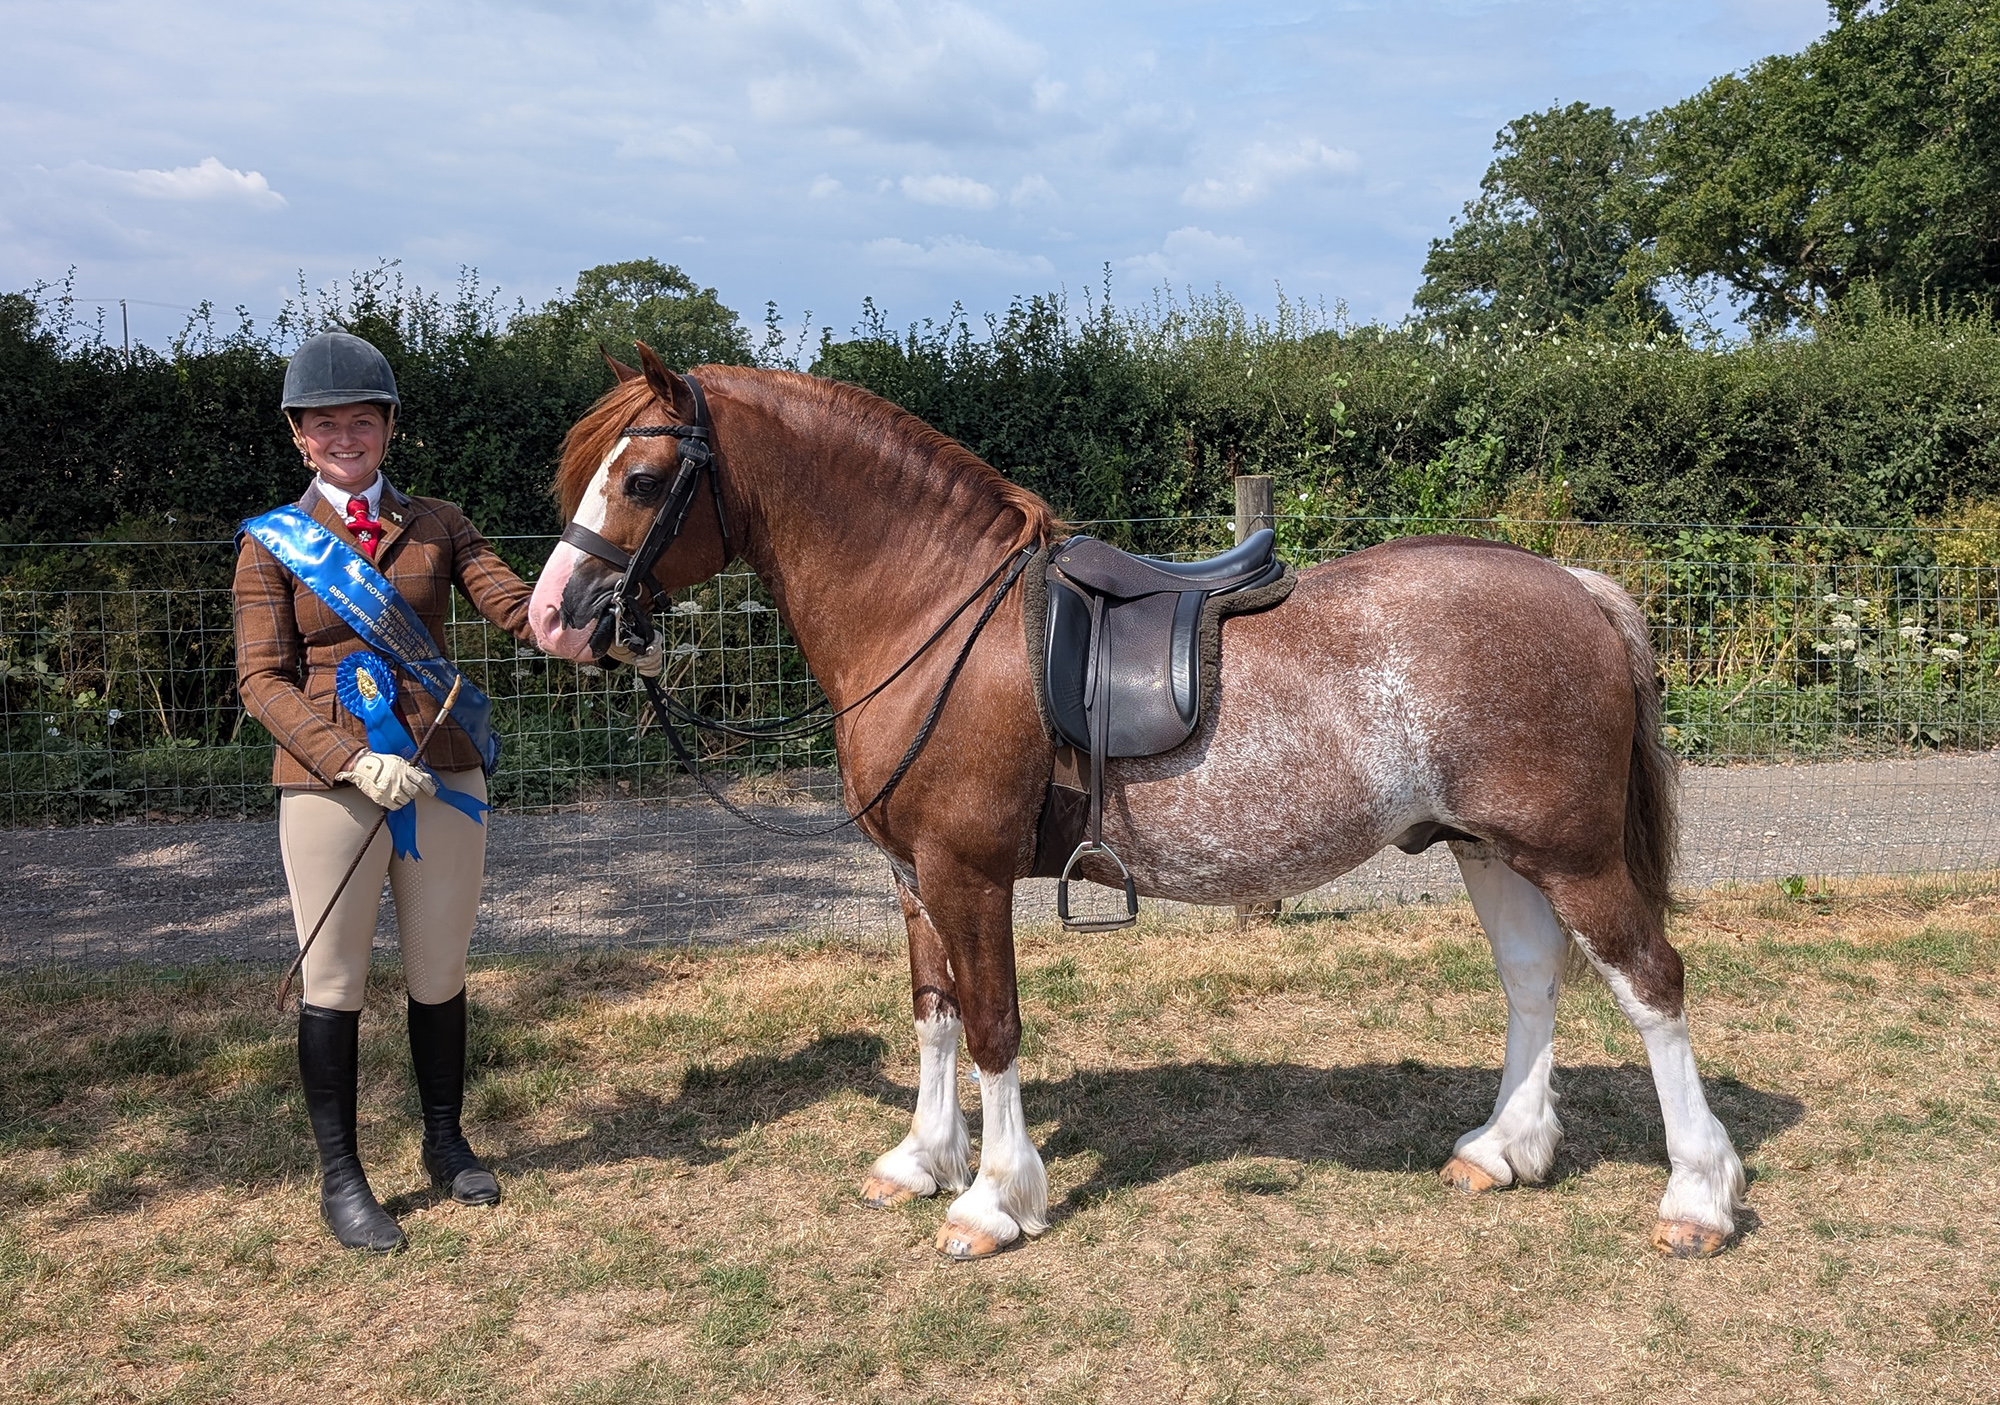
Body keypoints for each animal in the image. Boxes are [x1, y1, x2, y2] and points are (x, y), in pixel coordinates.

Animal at [527, 346, 1746, 1261]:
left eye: (643, 481)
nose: (553, 615)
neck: (930, 612)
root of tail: (1575, 587)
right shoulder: (913, 876)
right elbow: (932, 1015)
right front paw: (922, 1160)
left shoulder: (968, 872)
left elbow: (993, 1024)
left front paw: (993, 1200)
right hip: (1485, 846)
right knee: (1534, 981)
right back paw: (1501, 1149)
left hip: (1572, 853)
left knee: (1651, 986)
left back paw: (1696, 1195)